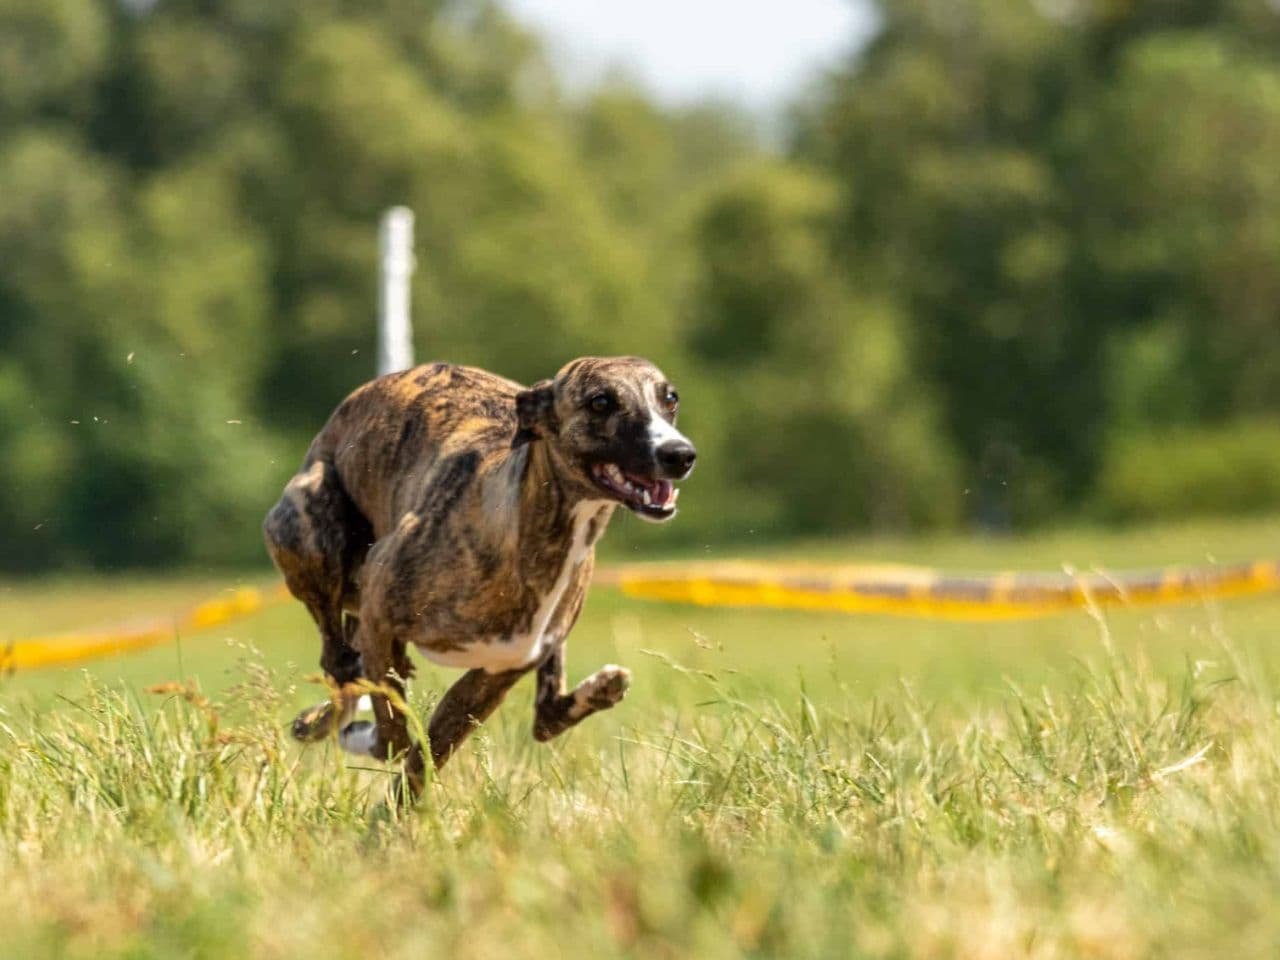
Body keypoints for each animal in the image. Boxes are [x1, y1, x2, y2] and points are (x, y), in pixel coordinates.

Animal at [263, 358, 696, 798]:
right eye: (601, 401)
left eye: (670, 398)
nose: (679, 454)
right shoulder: (379, 619)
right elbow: (393, 734)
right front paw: (369, 741)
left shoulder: (496, 675)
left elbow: (428, 753)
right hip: (310, 525)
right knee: (337, 660)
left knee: (545, 718)